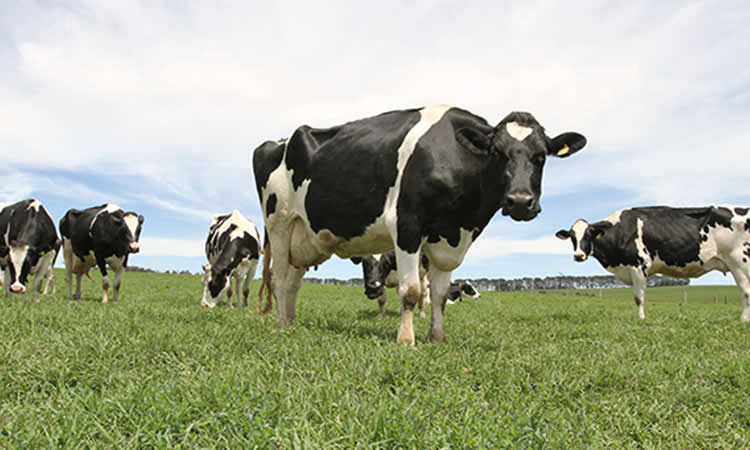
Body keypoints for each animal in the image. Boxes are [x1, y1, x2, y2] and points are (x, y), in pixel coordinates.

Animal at [254, 104, 586, 345]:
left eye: (541, 156)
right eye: (496, 152)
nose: (520, 201)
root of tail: (277, 141)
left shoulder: (448, 240)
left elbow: (437, 295)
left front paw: (437, 338)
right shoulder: (408, 225)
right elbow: (412, 291)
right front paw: (406, 340)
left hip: (303, 236)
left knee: (293, 282)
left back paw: (293, 321)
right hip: (279, 223)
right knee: (279, 279)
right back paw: (282, 326)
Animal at [556, 206, 750, 321]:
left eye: (589, 235)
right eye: (572, 237)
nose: (579, 255)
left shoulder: (638, 265)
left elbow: (638, 297)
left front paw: (641, 319)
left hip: (739, 261)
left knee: (745, 291)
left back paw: (743, 319)